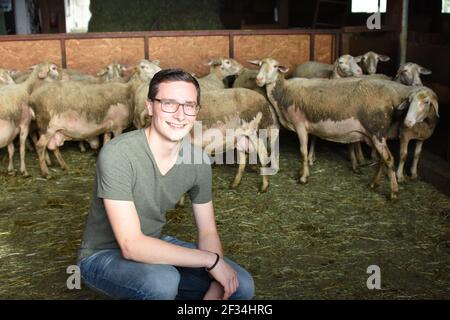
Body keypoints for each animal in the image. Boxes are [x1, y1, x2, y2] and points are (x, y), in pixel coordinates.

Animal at [251, 56, 438, 199]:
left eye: (275, 67)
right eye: (259, 65)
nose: (258, 80)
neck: (285, 91)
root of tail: (389, 100)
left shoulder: (300, 125)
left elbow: (303, 152)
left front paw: (303, 178)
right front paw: (301, 173)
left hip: (376, 132)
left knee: (389, 159)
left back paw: (394, 192)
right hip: (373, 135)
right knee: (382, 160)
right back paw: (373, 184)